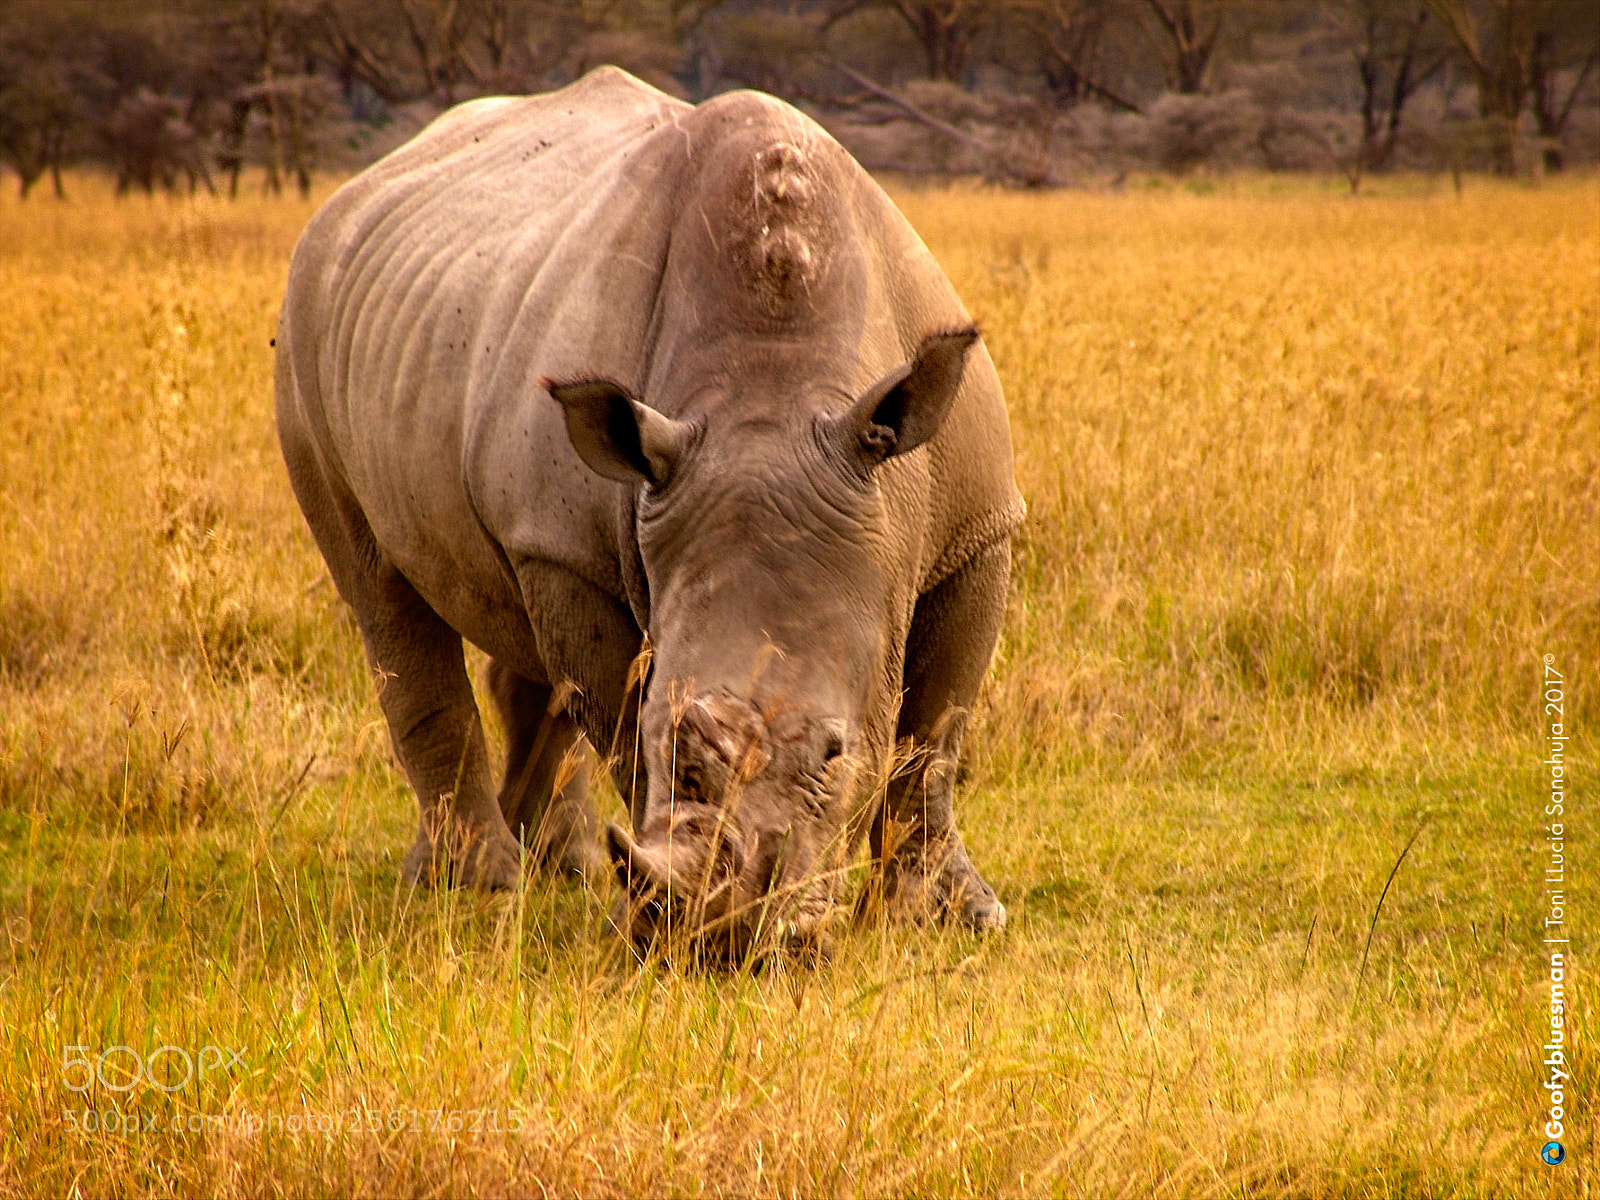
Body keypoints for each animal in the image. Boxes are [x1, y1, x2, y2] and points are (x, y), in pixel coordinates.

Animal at [275, 68, 1024, 960]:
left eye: (835, 752)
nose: (729, 943)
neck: (770, 391)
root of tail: (356, 192)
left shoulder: (973, 533)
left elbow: (933, 738)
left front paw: (954, 915)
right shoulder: (570, 553)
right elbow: (626, 733)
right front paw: (635, 924)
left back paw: (558, 862)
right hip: (307, 330)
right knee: (382, 593)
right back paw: (478, 881)